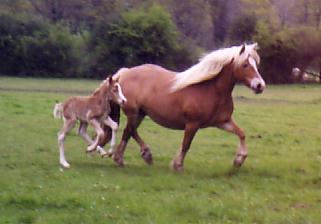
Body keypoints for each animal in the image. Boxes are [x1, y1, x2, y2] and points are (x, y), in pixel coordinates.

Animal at [104, 43, 264, 171]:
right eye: (245, 65)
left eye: (256, 64)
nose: (260, 85)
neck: (212, 89)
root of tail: (125, 73)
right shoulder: (193, 124)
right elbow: (186, 144)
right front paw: (177, 165)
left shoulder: (223, 122)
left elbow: (241, 133)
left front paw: (239, 160)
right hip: (133, 113)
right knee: (130, 130)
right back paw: (139, 155)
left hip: (141, 113)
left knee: (129, 131)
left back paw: (127, 157)